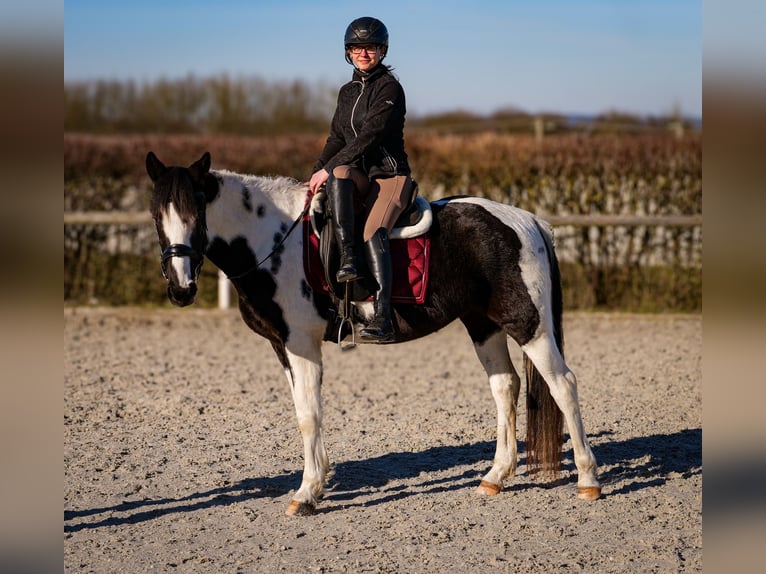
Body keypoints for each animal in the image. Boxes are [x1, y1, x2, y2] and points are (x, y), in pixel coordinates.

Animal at [142, 150, 600, 516]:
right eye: (156, 213)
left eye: (197, 210)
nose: (181, 288)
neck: (273, 239)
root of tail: (528, 221)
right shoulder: (283, 346)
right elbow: (303, 410)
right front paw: (317, 484)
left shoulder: (301, 343)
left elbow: (309, 415)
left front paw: (306, 494)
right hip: (483, 323)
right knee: (505, 386)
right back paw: (495, 476)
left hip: (527, 323)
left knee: (563, 384)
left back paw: (588, 480)